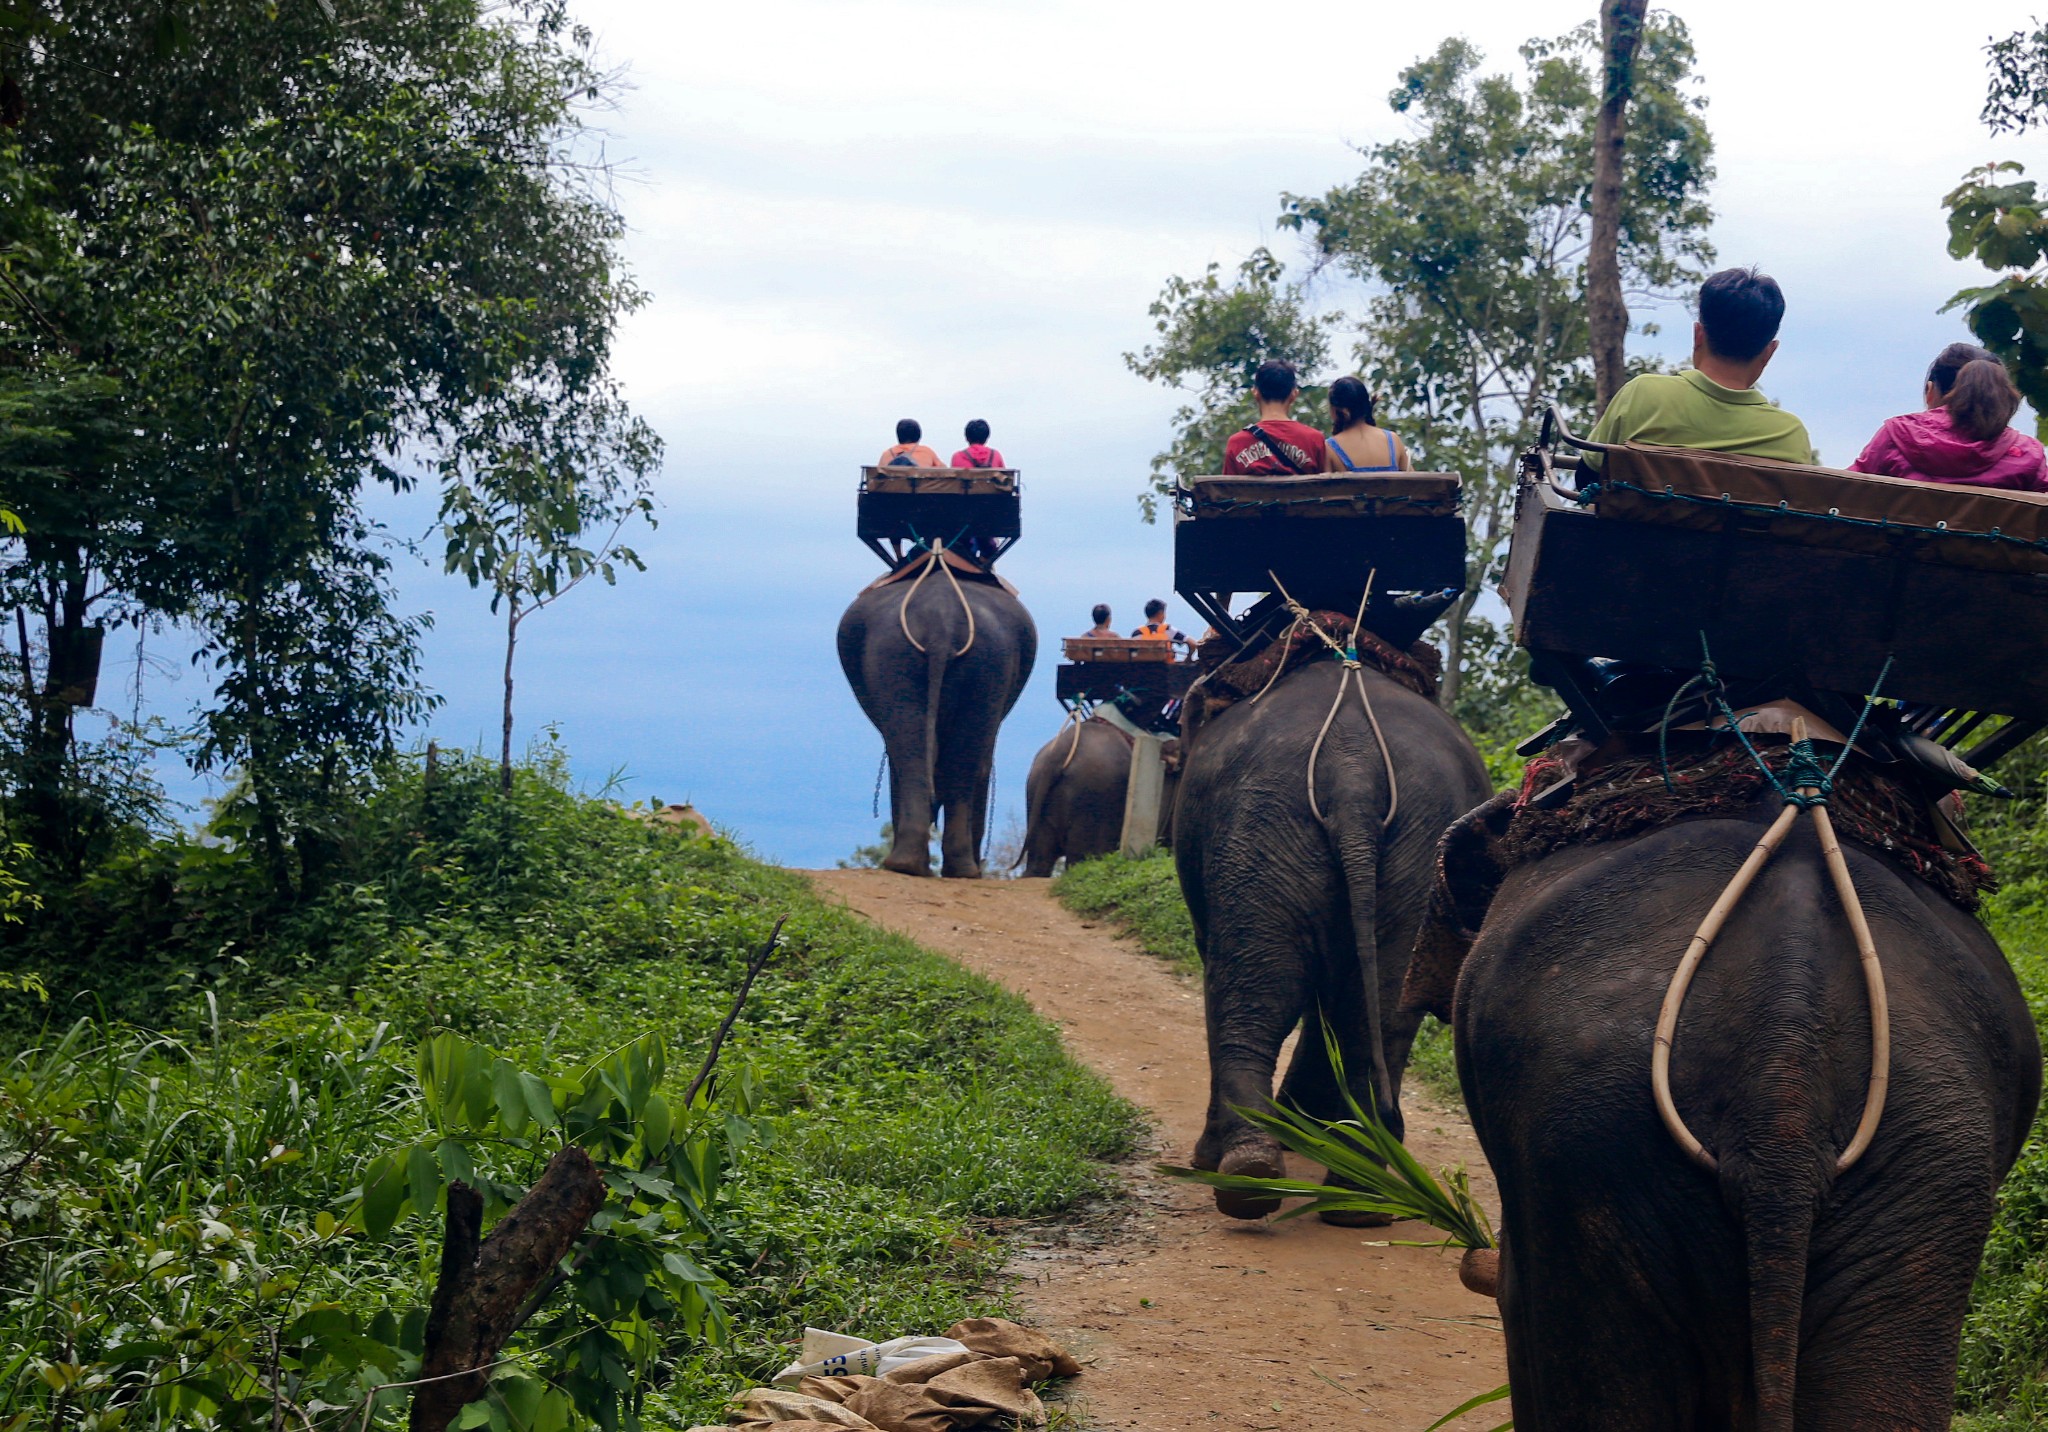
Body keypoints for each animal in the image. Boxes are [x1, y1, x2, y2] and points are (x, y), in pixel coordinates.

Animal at [831, 565, 1032, 880]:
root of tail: (942, 621)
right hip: (963, 657)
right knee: (944, 753)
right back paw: (945, 868)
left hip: (907, 655)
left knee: (918, 746)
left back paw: (919, 866)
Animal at [1171, 622, 1490, 1212]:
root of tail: (1353, 769)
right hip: (1416, 854)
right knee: (1380, 1012)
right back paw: (1357, 1188)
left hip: (1262, 831)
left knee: (1252, 990)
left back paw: (1244, 1175)